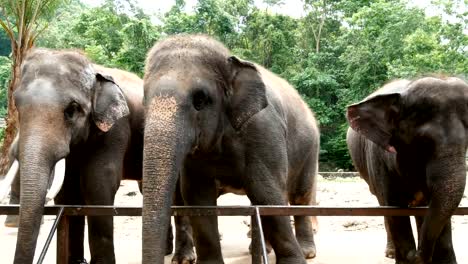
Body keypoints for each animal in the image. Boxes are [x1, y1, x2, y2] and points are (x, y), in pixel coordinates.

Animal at [0, 49, 194, 264]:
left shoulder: (116, 128)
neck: (94, 70)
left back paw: (183, 258)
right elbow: (68, 191)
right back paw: (166, 250)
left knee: (178, 192)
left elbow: (98, 182)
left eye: (72, 109)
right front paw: (76, 261)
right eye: (17, 105)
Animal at [141, 33, 320, 264]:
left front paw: (294, 262)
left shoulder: (264, 129)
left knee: (299, 196)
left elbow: (267, 192)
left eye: (200, 99)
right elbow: (197, 196)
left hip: (310, 149)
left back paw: (307, 252)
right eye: (144, 99)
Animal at [346, 76, 466, 264]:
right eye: (424, 142)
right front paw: (407, 256)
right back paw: (392, 253)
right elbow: (394, 208)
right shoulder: (378, 158)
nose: (416, 254)